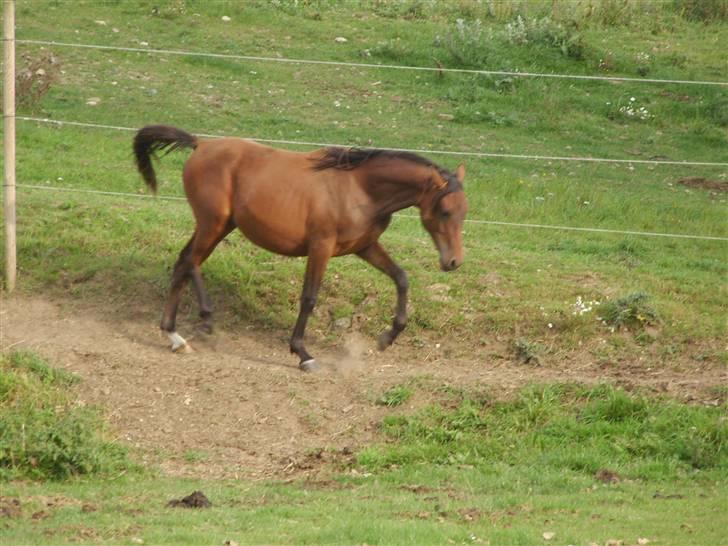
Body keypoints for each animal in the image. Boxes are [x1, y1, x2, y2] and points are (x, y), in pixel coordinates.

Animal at [134, 124, 470, 370]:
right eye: (444, 212)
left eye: (463, 211)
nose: (453, 262)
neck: (359, 189)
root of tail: (200, 144)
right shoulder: (321, 246)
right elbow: (309, 298)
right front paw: (303, 354)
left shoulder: (364, 246)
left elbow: (401, 277)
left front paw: (387, 337)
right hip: (212, 223)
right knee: (190, 261)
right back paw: (205, 319)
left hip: (220, 226)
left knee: (183, 262)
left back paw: (175, 336)